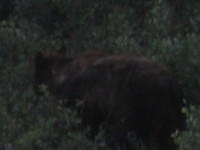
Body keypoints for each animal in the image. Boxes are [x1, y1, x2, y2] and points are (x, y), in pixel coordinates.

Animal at [33, 50, 185, 150]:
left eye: (37, 74)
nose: (35, 91)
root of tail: (170, 81)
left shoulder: (83, 107)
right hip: (173, 114)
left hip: (138, 109)